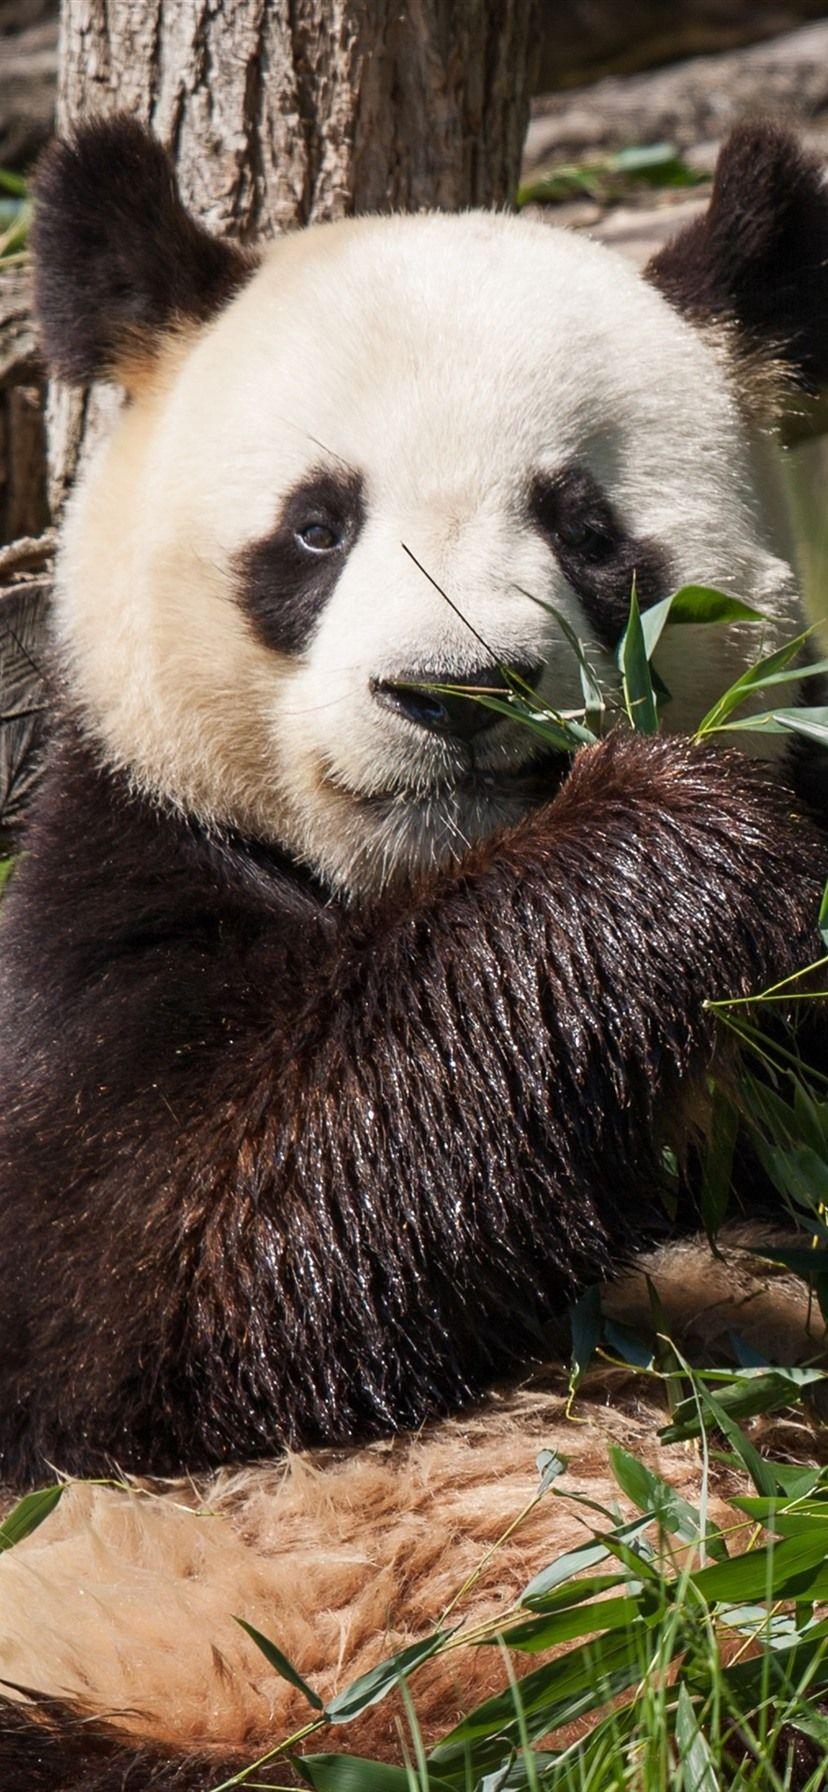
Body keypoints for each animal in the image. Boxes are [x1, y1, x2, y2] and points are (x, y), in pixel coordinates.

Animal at [0, 114, 827, 1789]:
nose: (458, 694)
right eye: (317, 525)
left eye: (588, 528)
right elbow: (177, 1269)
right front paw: (671, 838)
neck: (426, 882)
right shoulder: (104, 897)